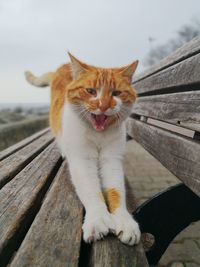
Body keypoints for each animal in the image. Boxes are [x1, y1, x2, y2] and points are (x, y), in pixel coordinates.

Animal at [24, 53, 141, 246]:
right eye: (91, 91)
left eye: (116, 93)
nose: (103, 105)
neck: (98, 134)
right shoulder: (82, 161)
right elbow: (91, 190)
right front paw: (98, 219)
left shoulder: (112, 160)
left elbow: (116, 191)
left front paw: (124, 221)